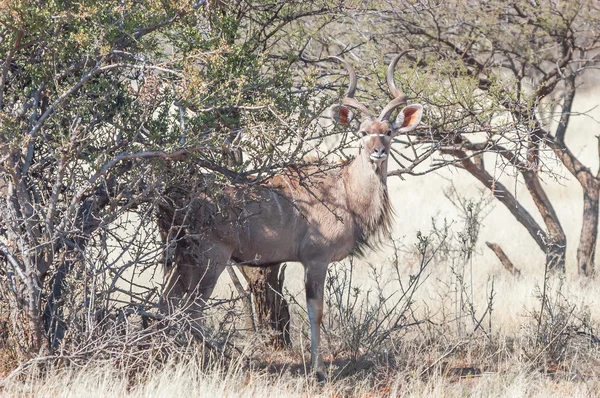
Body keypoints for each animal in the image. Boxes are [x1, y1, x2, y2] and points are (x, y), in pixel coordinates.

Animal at [157, 52, 424, 380]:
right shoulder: (316, 259)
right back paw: (204, 362)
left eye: (388, 132)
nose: (378, 152)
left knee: (168, 302)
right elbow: (316, 311)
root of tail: (173, 202)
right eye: (362, 133)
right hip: (210, 259)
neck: (345, 188)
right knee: (192, 308)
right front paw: (318, 370)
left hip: (182, 260)